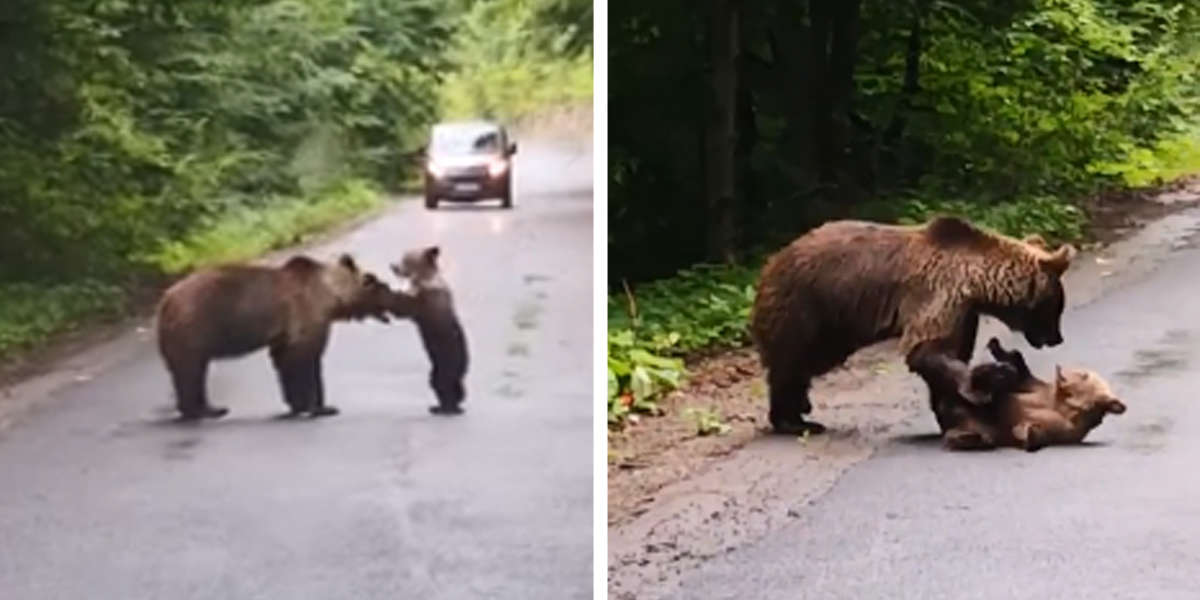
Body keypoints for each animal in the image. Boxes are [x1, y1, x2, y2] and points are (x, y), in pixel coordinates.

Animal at [156, 255, 393, 420]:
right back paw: (201, 411)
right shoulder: (305, 314)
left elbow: (284, 360)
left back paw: (212, 408)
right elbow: (305, 359)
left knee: (194, 371)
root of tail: (166, 299)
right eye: (379, 285)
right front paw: (321, 407)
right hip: (194, 326)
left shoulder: (284, 334)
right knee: (190, 370)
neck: (330, 295)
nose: (393, 295)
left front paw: (297, 405)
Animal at [748, 217, 1080, 436]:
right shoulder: (939, 294)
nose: (1058, 338)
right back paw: (792, 420)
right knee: (793, 359)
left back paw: (800, 412)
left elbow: (947, 354)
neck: (978, 285)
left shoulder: (964, 313)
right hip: (806, 305)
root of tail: (771, 261)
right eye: (1056, 306)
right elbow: (927, 350)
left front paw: (952, 411)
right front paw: (986, 382)